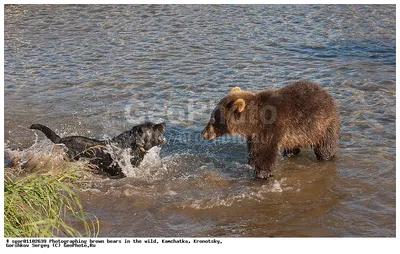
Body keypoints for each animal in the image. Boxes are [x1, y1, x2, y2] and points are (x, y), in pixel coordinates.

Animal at [202, 80, 340, 180]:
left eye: (213, 119)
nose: (203, 133)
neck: (252, 122)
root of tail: (327, 94)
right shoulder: (253, 135)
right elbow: (253, 151)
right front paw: (251, 164)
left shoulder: (270, 127)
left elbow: (265, 153)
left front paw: (262, 174)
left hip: (323, 125)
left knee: (325, 146)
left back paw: (325, 156)